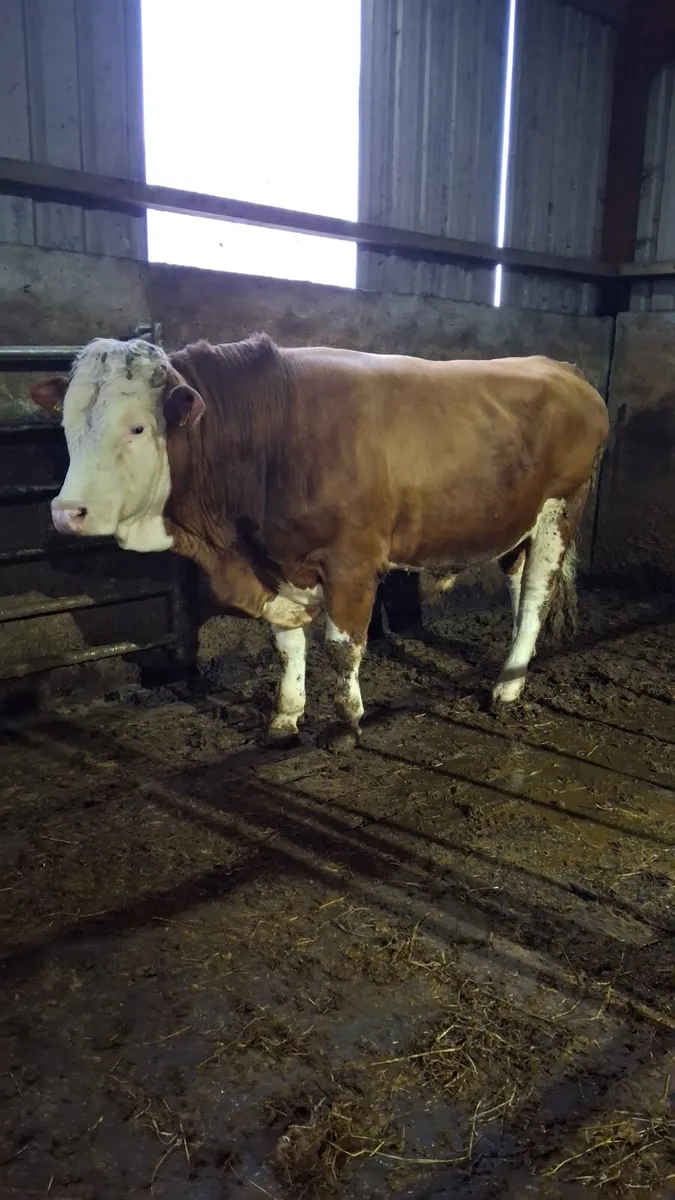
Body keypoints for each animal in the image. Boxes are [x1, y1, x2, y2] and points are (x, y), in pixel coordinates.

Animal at [30, 335, 609, 749]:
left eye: (136, 428)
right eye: (66, 424)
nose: (66, 513)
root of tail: (563, 369)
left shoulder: (351, 562)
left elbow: (341, 646)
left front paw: (346, 723)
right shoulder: (277, 564)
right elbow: (286, 644)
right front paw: (285, 718)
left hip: (561, 508)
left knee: (536, 594)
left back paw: (508, 687)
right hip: (514, 521)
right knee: (517, 583)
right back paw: (512, 667)